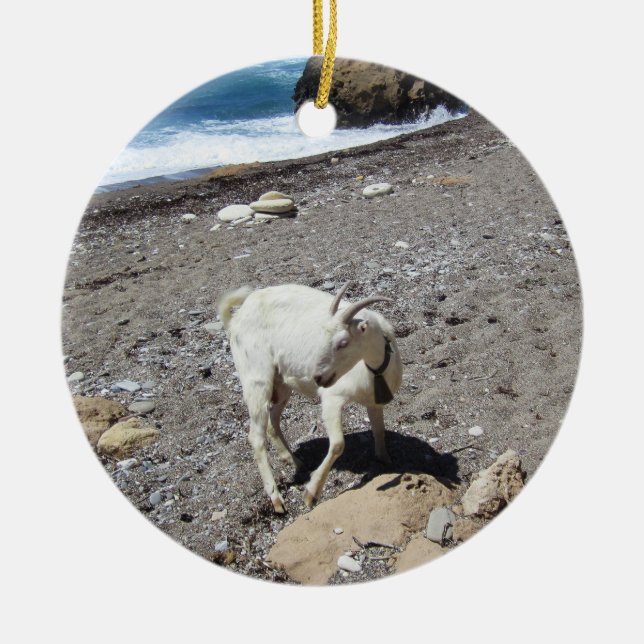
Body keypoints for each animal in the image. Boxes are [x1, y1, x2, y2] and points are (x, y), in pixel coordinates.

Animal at [217, 282, 402, 513]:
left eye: (343, 342)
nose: (318, 377)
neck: (375, 370)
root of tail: (236, 317)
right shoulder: (332, 399)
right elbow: (338, 444)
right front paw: (311, 494)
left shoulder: (374, 401)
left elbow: (379, 431)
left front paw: (386, 461)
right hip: (256, 379)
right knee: (256, 437)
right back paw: (276, 499)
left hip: (281, 383)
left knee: (272, 423)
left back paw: (295, 462)